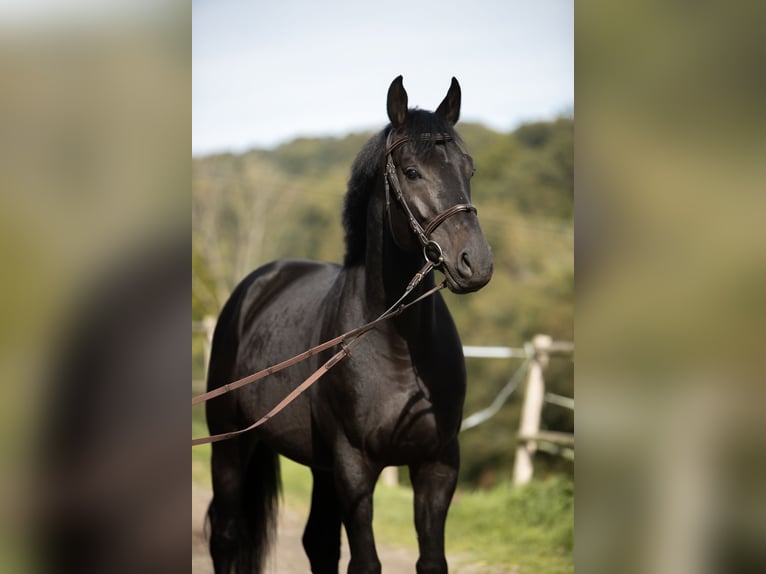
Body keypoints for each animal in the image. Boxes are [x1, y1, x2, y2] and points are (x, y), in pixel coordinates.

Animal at [204, 77, 496, 574]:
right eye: (412, 171)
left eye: (469, 168)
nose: (475, 264)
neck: (396, 344)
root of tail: (258, 284)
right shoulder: (355, 466)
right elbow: (366, 562)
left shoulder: (438, 464)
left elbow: (431, 560)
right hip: (229, 447)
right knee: (226, 536)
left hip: (318, 466)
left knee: (318, 542)